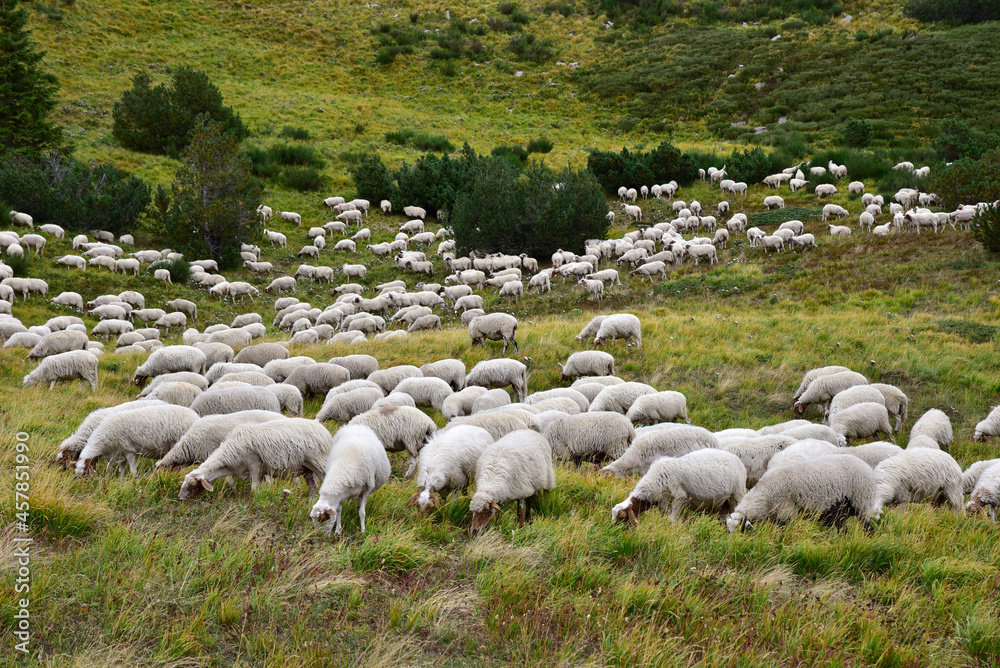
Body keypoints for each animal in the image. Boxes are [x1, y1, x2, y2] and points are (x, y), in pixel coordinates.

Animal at [179, 418, 334, 500]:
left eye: (191, 485)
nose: (180, 499)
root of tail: (323, 430)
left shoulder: (254, 464)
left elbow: (254, 488)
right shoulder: (261, 471)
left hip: (318, 463)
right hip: (307, 469)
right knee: (313, 487)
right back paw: (309, 503)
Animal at [614, 449, 747, 525]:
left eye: (622, 517)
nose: (614, 531)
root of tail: (736, 458)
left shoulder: (679, 496)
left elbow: (672, 518)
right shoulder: (664, 501)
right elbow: (664, 514)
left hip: (736, 494)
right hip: (723, 502)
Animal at [726, 455, 877, 532]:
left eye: (741, 530)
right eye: (728, 531)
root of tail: (866, 466)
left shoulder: (787, 512)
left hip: (861, 502)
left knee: (868, 527)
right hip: (842, 510)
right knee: (843, 529)